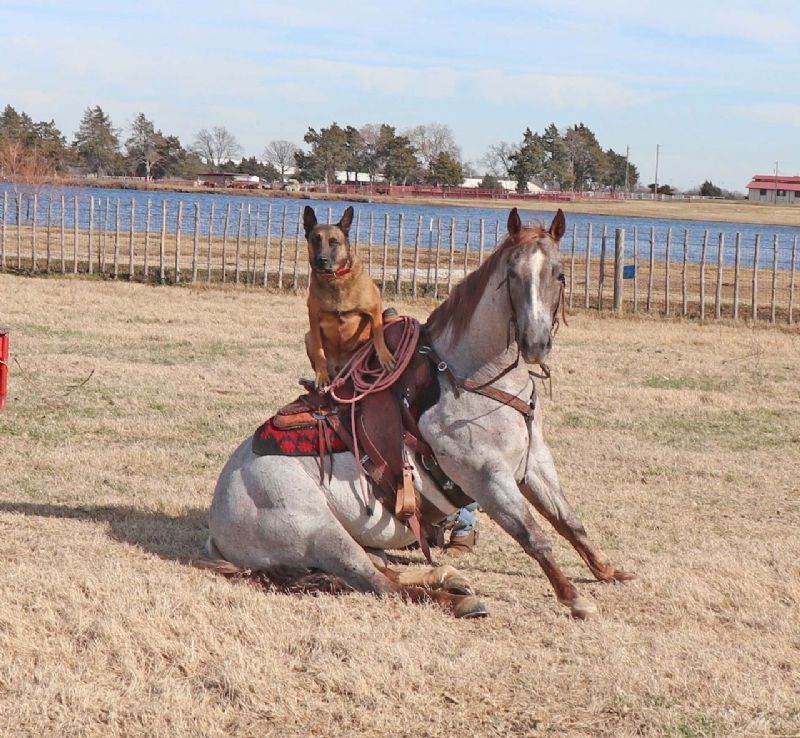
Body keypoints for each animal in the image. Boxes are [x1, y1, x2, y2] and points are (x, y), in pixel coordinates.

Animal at [201, 207, 633, 619]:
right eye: (512, 274)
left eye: (559, 274)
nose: (536, 343)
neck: (474, 379)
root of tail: (218, 521)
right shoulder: (488, 479)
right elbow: (534, 536)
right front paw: (574, 597)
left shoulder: (535, 463)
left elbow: (569, 521)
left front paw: (608, 571)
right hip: (323, 536)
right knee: (380, 584)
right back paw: (457, 600)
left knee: (386, 571)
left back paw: (449, 576)